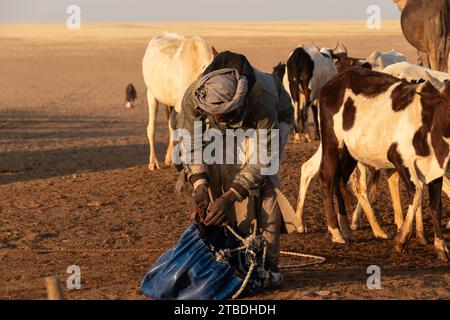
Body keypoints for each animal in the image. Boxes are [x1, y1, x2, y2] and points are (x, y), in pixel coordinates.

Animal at [316, 67, 450, 260]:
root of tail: (334, 81)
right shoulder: (400, 159)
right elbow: (417, 193)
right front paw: (401, 241)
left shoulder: (436, 168)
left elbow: (436, 207)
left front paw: (440, 246)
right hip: (332, 143)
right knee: (327, 178)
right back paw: (336, 232)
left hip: (350, 152)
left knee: (340, 179)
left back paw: (347, 229)